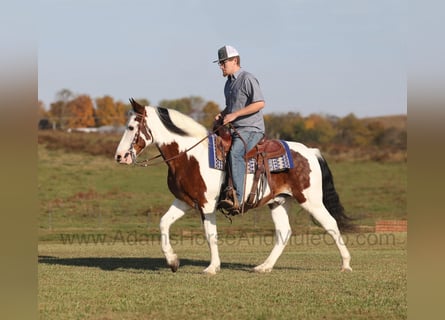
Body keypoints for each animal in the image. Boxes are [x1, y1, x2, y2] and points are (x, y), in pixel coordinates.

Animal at [115, 99, 354, 274]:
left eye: (131, 127)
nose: (120, 157)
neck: (190, 155)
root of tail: (310, 151)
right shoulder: (185, 201)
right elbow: (164, 223)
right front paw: (173, 262)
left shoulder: (206, 205)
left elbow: (210, 235)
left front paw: (212, 268)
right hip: (278, 202)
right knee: (284, 233)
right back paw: (264, 267)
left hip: (310, 201)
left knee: (331, 224)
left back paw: (346, 264)